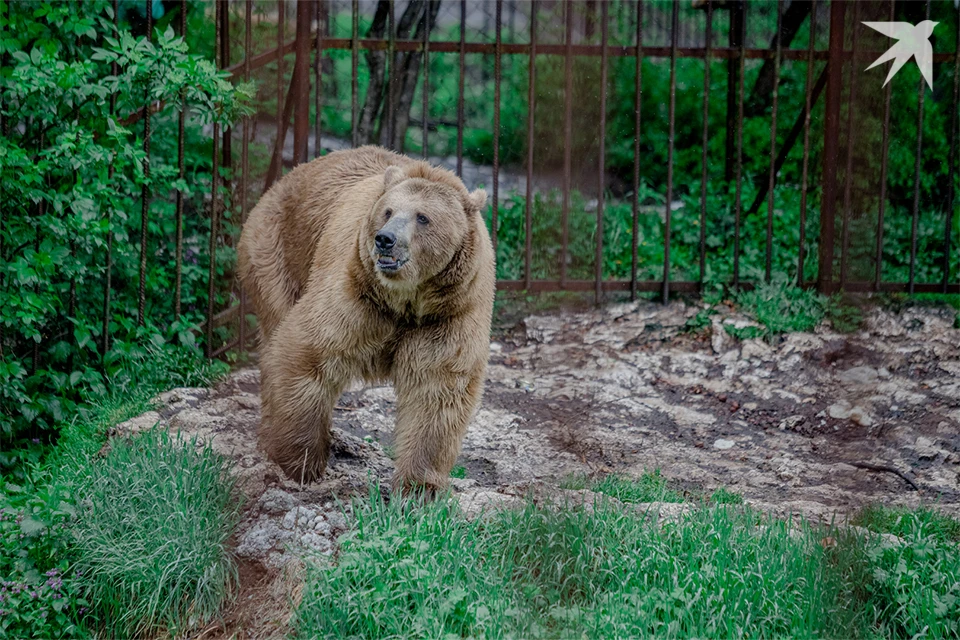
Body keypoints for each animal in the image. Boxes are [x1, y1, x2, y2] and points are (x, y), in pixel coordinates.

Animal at [238, 148, 496, 492]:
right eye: (388, 211)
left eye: (422, 217)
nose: (385, 239)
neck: (406, 300)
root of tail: (281, 182)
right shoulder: (358, 293)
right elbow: (305, 352)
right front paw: (301, 465)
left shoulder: (448, 314)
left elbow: (437, 390)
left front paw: (418, 487)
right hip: (277, 256)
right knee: (274, 338)